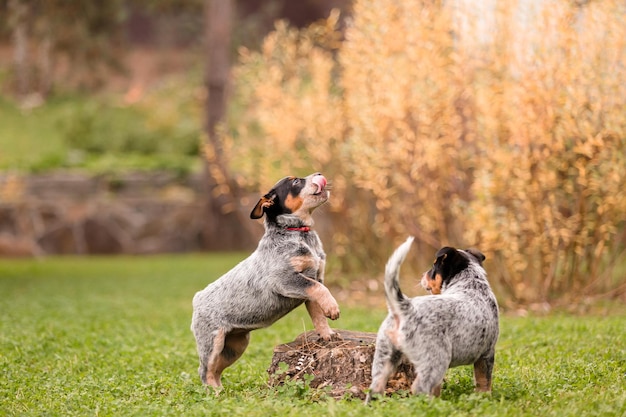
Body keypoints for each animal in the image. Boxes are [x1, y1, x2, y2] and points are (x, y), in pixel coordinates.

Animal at [190, 171, 338, 386]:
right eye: (296, 181)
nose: (319, 174)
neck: (296, 233)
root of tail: (198, 298)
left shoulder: (314, 280)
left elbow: (318, 315)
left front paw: (327, 334)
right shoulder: (285, 279)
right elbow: (321, 291)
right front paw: (333, 308)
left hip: (235, 346)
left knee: (216, 371)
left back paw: (221, 390)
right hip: (212, 342)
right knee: (204, 370)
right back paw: (215, 391)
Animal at [366, 236, 498, 402]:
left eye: (434, 266)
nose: (423, 274)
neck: (471, 284)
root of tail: (407, 307)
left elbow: (437, 388)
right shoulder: (487, 354)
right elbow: (484, 382)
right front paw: (484, 398)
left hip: (385, 357)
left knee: (375, 388)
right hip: (437, 359)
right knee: (418, 388)